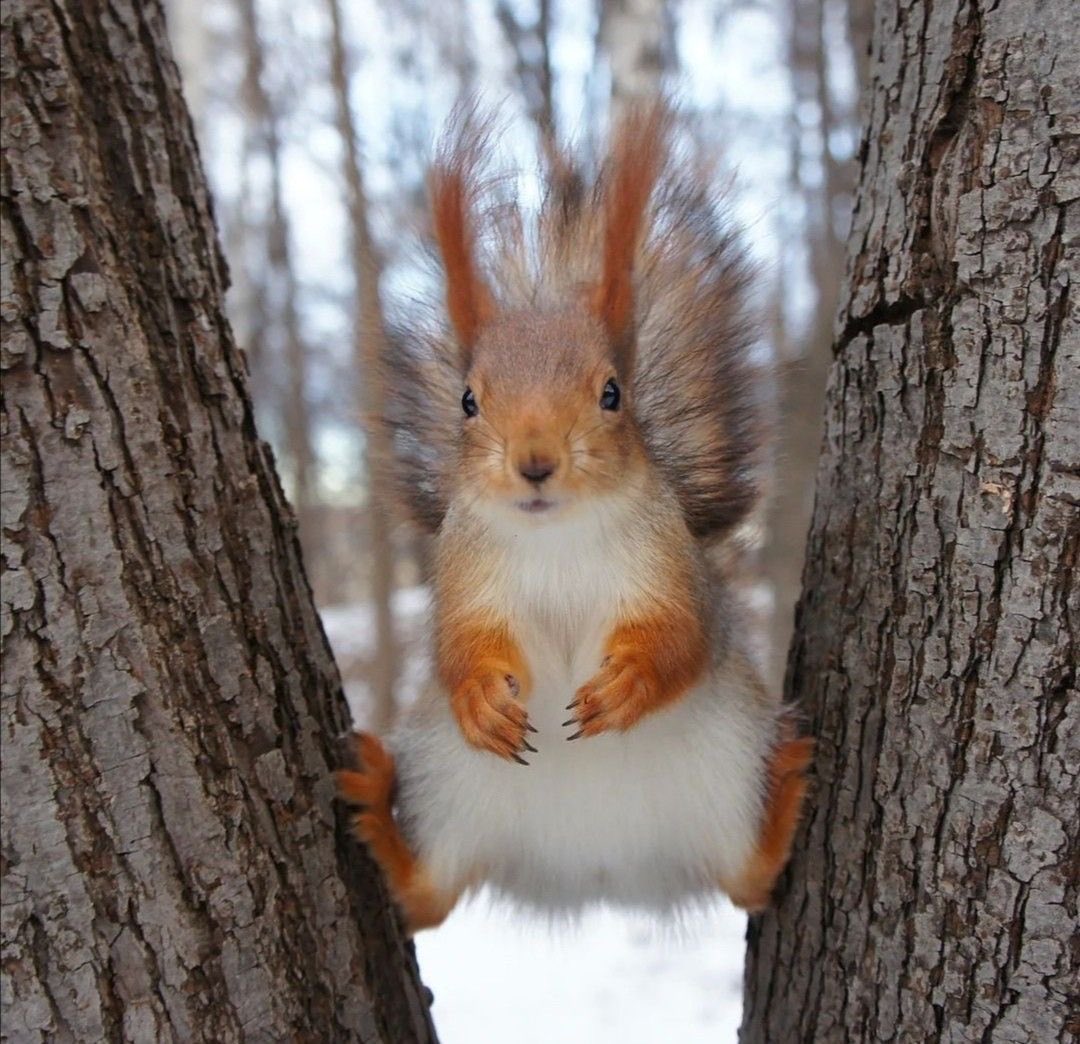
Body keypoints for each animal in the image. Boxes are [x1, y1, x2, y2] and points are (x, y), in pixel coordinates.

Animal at [338, 101, 813, 933]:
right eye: (468, 400)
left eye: (612, 393)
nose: (535, 462)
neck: (552, 537)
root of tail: (599, 876)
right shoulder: (462, 576)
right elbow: (458, 646)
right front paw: (479, 698)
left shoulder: (670, 568)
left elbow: (682, 637)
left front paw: (629, 682)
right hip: (447, 781)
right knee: (426, 898)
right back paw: (374, 805)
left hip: (728, 768)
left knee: (748, 878)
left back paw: (784, 789)